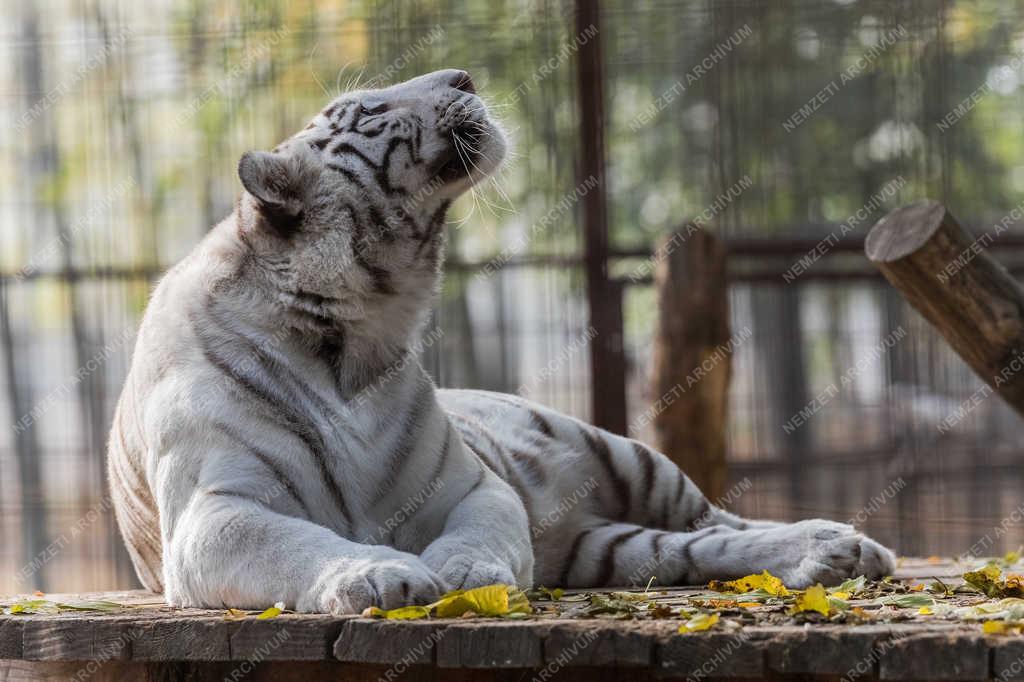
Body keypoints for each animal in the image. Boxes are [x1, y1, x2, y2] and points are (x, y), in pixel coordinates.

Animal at [110, 69, 897, 610]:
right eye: (371, 109)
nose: (464, 78)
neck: (361, 330)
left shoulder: (473, 483)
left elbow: (480, 527)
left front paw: (466, 574)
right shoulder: (217, 509)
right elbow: (299, 540)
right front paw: (379, 573)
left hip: (622, 455)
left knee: (717, 518)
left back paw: (842, 545)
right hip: (604, 546)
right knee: (689, 548)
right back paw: (829, 556)